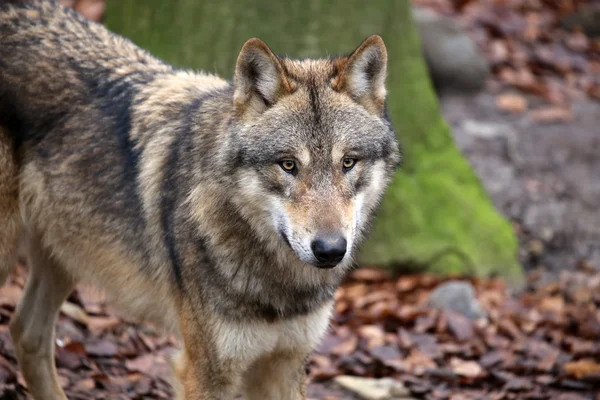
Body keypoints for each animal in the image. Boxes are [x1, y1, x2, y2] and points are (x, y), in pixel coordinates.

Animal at [1, 1, 404, 398]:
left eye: (348, 162)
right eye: (288, 165)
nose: (330, 249)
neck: (277, 284)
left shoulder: (285, 366)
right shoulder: (205, 371)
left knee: (25, 330)